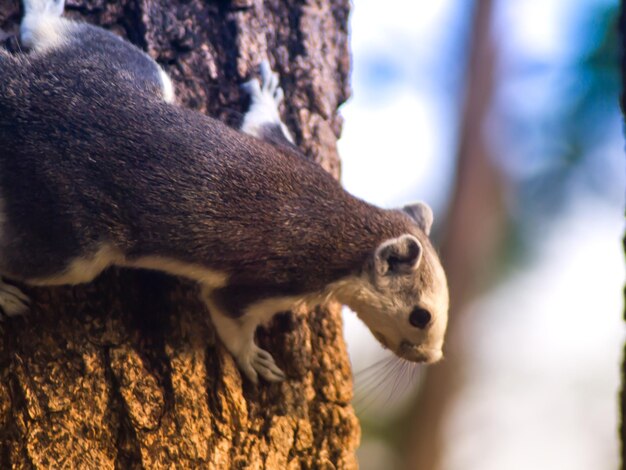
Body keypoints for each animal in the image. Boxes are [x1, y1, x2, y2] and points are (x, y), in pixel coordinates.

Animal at [0, 0, 448, 384]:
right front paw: (252, 358)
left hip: (121, 69)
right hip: (69, 238)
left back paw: (42, 10)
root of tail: (28, 96)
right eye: (420, 316)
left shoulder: (293, 156)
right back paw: (6, 295)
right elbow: (228, 314)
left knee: (59, 34)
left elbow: (262, 124)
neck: (349, 224)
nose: (432, 358)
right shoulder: (267, 281)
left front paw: (266, 94)